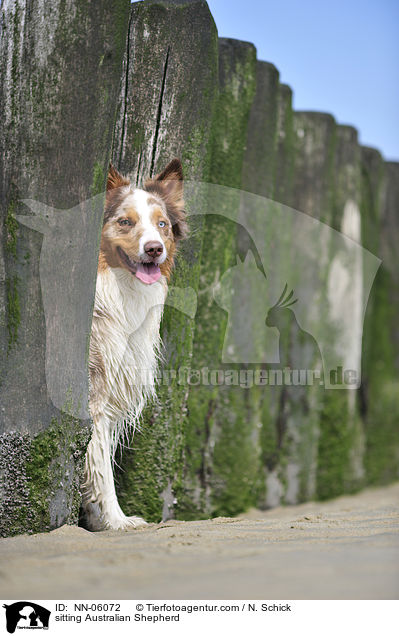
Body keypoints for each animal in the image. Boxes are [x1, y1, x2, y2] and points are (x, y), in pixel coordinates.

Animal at [82, 159, 188, 532]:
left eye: (161, 224)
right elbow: (101, 462)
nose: (154, 248)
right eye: (125, 221)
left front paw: (97, 517)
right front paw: (116, 519)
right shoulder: (95, 391)